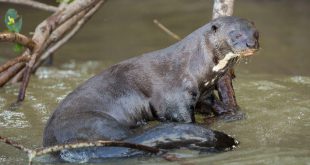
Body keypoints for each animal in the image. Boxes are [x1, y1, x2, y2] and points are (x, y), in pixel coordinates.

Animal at [43, 16, 260, 162]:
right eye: (236, 34)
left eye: (256, 33)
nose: (251, 43)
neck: (192, 66)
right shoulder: (175, 100)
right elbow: (183, 119)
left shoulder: (203, 94)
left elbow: (213, 104)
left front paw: (232, 113)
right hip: (96, 123)